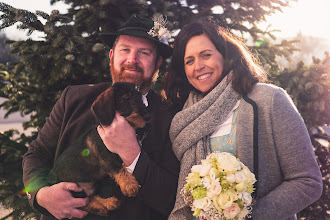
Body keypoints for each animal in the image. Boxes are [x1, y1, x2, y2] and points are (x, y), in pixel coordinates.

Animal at [47, 81, 151, 216]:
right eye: (125, 99)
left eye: (139, 97)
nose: (148, 116)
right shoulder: (106, 159)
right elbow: (119, 169)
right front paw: (130, 185)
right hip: (72, 189)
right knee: (83, 204)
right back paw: (103, 206)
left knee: (89, 198)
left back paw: (108, 203)